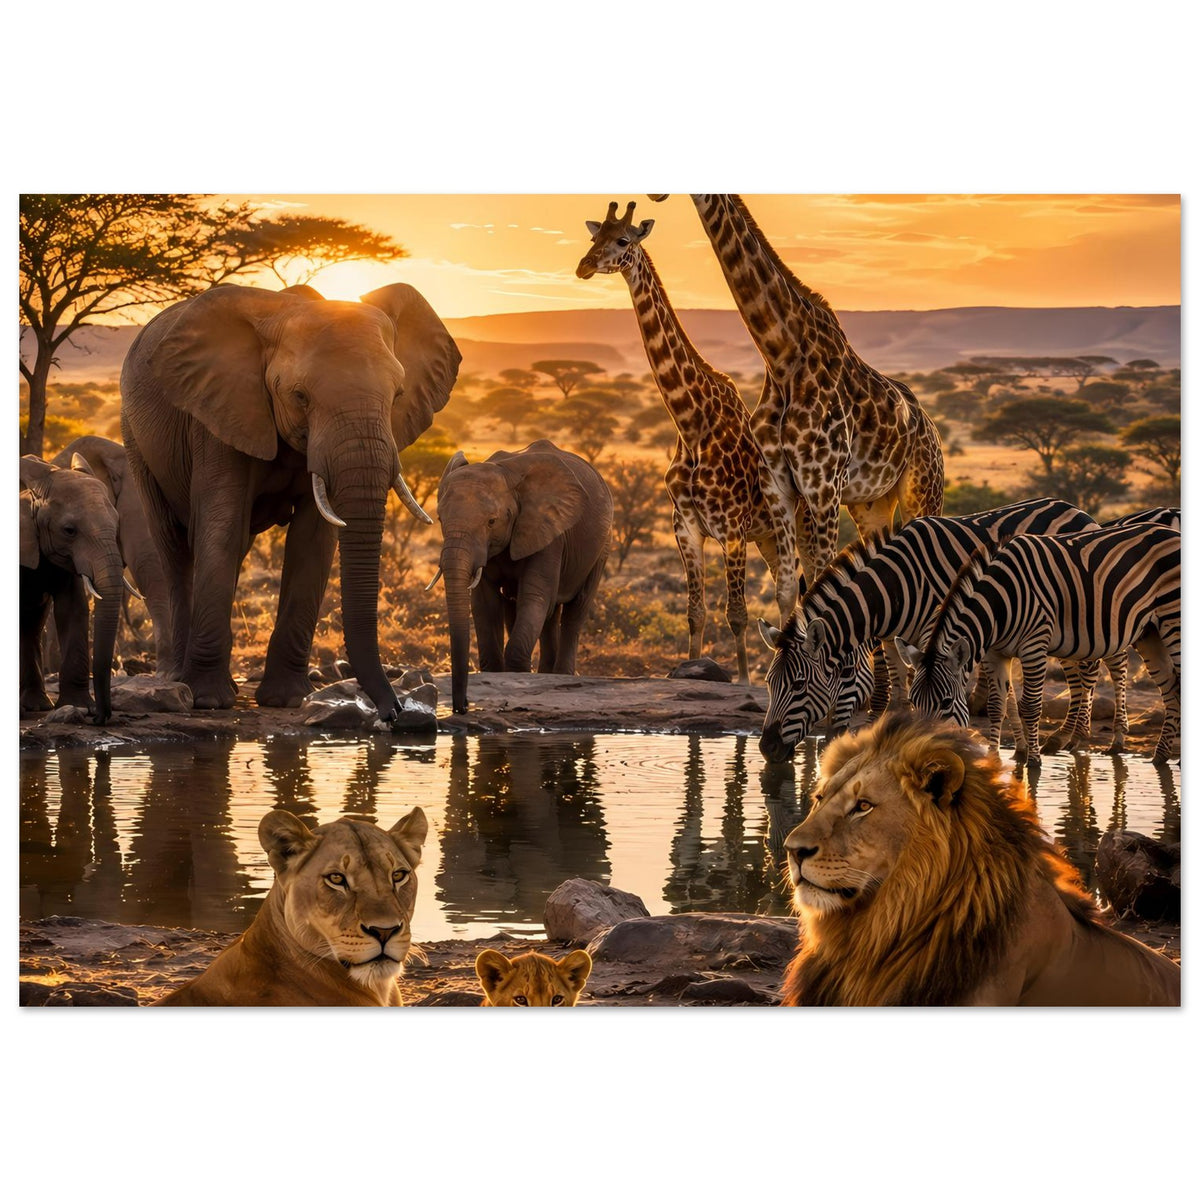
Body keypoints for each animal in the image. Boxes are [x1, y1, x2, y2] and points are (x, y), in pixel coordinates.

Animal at [757, 497, 1098, 762]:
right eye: (769, 683)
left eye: (799, 685)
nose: (767, 748)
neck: (895, 587)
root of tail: (1076, 509)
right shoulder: (895, 640)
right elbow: (901, 696)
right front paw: (1021, 749)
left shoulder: (937, 634)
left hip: (1072, 615)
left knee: (1087, 670)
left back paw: (1073, 737)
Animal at [906, 523, 1180, 765]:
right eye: (912, 702)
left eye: (946, 703)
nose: (921, 754)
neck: (998, 606)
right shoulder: (994, 654)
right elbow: (996, 706)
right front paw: (994, 760)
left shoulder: (1034, 646)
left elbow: (1030, 707)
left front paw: (1034, 762)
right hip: (1149, 632)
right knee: (1171, 687)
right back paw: (1161, 757)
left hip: (1172, 620)